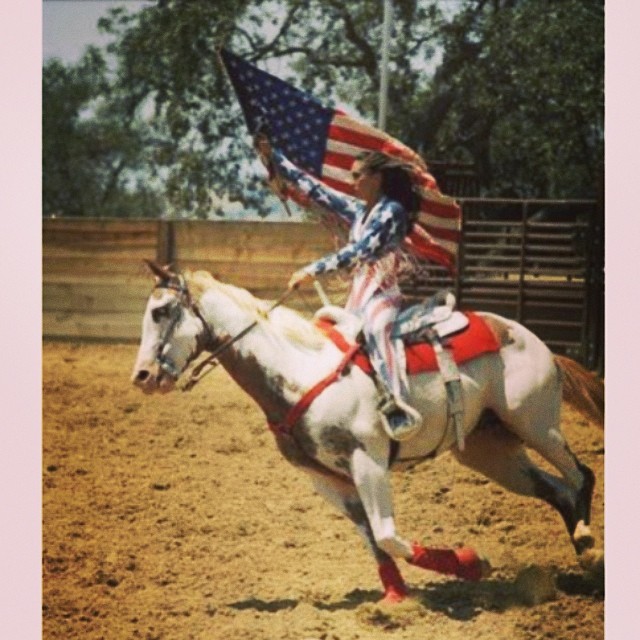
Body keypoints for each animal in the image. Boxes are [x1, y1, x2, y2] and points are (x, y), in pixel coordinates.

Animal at [131, 258, 604, 600]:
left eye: (162, 310)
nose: (143, 376)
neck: (301, 370)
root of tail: (536, 341)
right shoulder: (325, 479)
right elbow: (376, 542)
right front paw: (396, 599)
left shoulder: (368, 462)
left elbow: (388, 535)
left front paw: (471, 562)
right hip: (490, 452)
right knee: (556, 490)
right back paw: (583, 558)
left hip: (536, 424)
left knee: (581, 474)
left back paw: (588, 544)